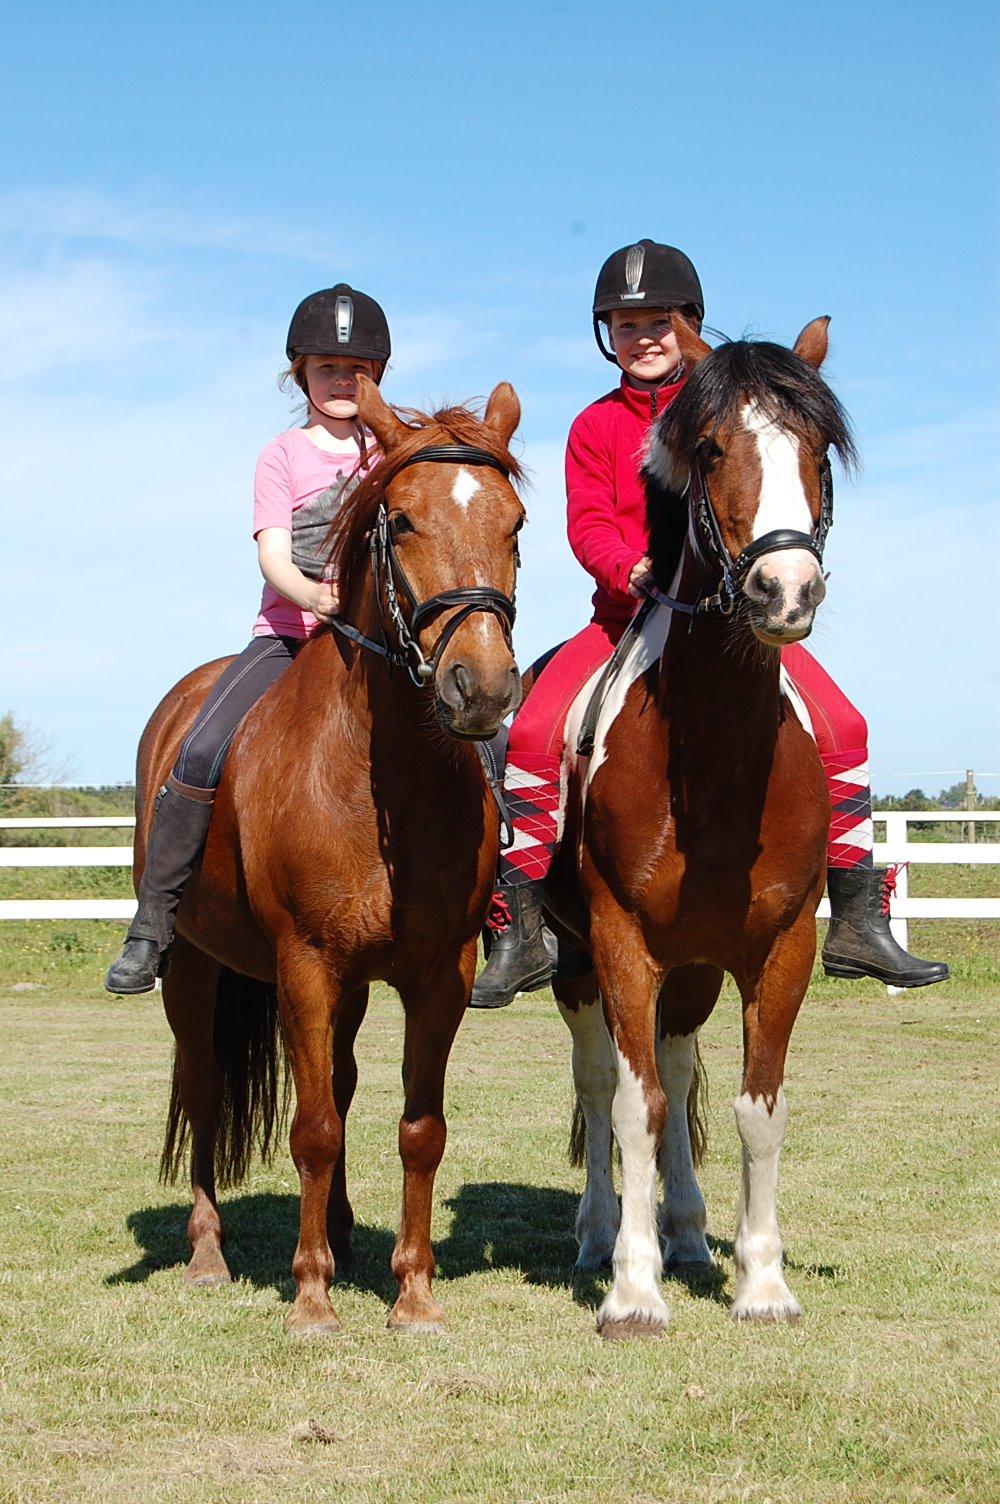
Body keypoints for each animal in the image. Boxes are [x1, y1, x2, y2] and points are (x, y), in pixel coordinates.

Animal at [146, 382, 529, 1335]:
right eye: (403, 520)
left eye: (514, 523)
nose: (481, 688)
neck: (381, 777)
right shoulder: (306, 965)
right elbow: (311, 1128)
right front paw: (311, 1296)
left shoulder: (438, 974)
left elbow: (417, 1129)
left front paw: (413, 1294)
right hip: (193, 970)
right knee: (206, 1089)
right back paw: (208, 1255)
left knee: (346, 1084)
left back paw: (349, 1235)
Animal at [541, 314, 854, 1341]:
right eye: (711, 449)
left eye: (818, 451)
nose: (785, 591)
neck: (714, 764)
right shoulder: (621, 943)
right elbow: (630, 1108)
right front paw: (632, 1292)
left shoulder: (780, 949)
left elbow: (759, 1110)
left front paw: (762, 1283)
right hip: (582, 965)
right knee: (604, 1082)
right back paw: (604, 1235)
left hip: (695, 969)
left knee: (678, 1071)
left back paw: (682, 1232)